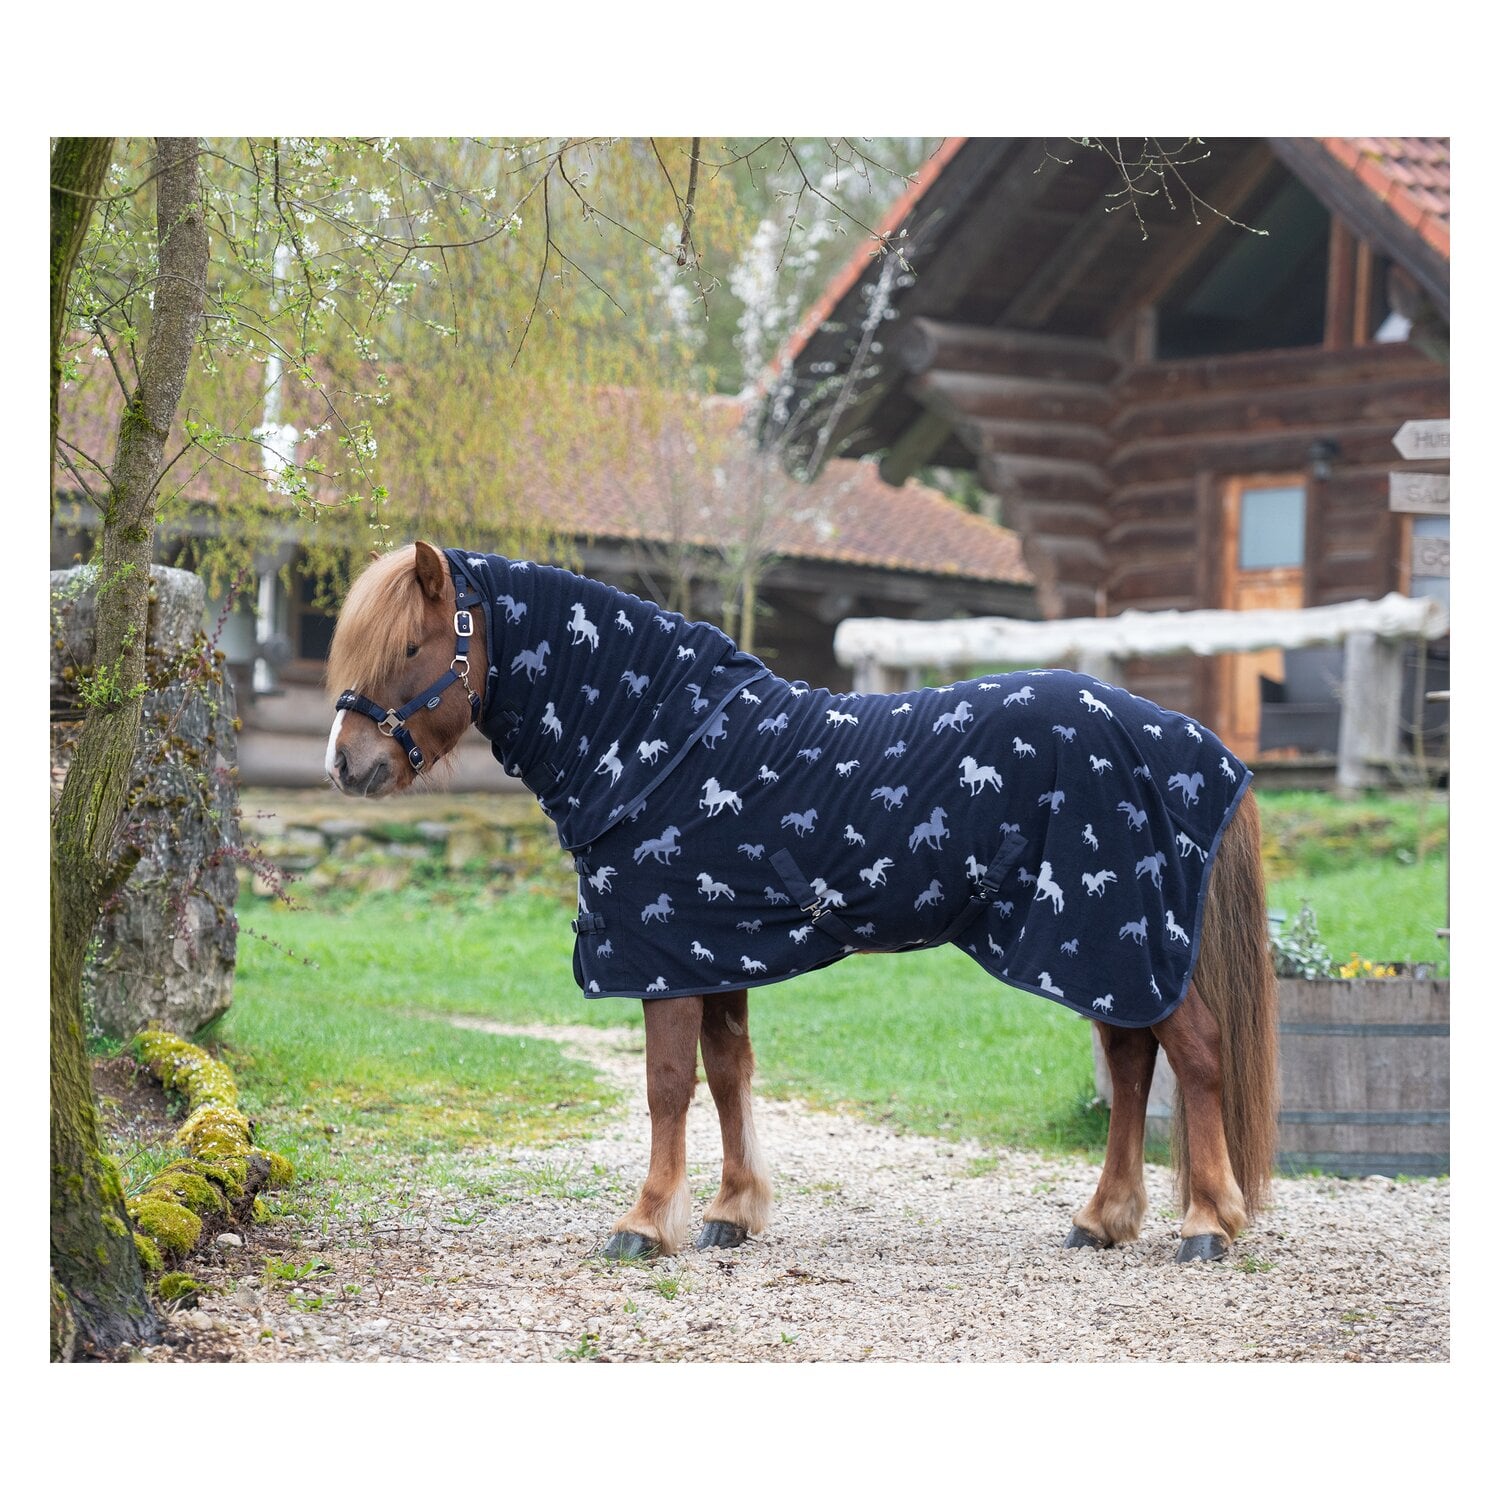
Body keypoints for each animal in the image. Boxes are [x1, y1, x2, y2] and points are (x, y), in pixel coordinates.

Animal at [326, 542, 1278, 1265]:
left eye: (410, 647)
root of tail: (1193, 742)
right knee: (1130, 1064)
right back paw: (1104, 1219)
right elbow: (727, 1073)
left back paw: (1207, 1223)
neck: (661, 747)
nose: (346, 764)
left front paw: (646, 1224)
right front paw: (731, 1213)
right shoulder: (713, 953)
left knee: (1195, 1056)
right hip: (1100, 952)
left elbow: (667, 1085)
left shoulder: (663, 961)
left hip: (1125, 941)